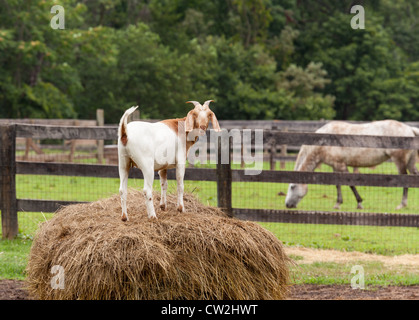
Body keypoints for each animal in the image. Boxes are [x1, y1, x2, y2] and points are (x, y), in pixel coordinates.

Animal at [286, 120, 419, 210]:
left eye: (292, 186)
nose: (287, 204)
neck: (323, 141)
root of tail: (409, 129)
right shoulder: (335, 166)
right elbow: (337, 184)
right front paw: (338, 203)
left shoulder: (341, 165)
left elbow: (350, 184)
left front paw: (359, 203)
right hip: (410, 162)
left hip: (399, 161)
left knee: (405, 179)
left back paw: (402, 204)